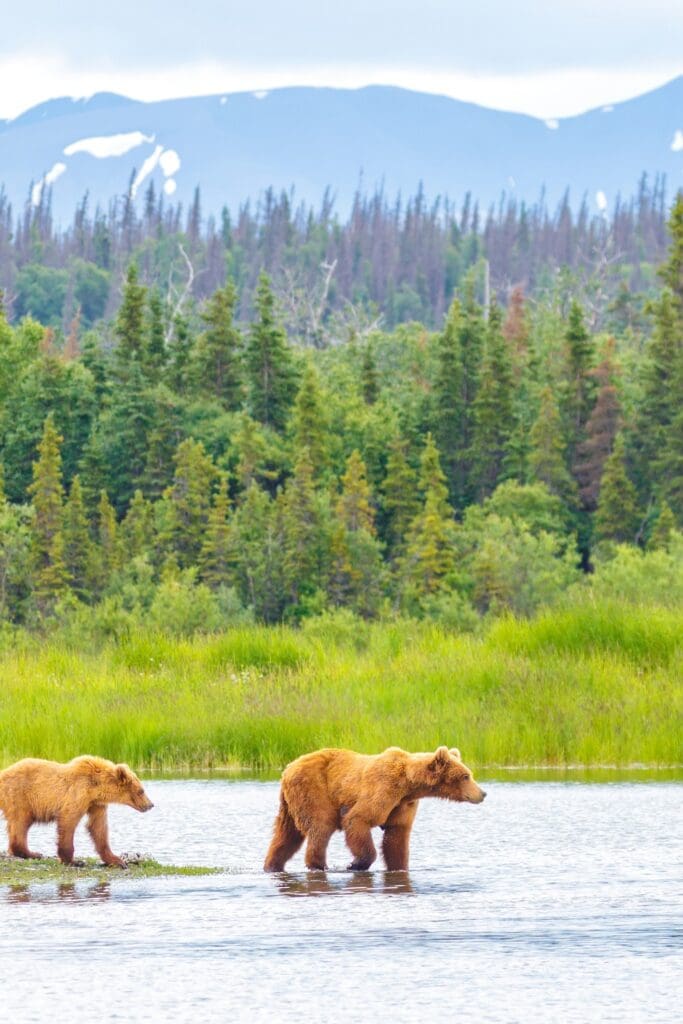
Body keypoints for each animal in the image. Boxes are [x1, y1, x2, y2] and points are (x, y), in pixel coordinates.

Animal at [0, 757, 154, 868]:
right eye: (141, 791)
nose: (151, 805)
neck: (96, 788)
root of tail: (3, 774)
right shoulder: (78, 793)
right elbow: (68, 820)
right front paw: (74, 861)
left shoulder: (96, 804)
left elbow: (98, 828)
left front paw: (117, 860)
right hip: (20, 796)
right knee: (21, 822)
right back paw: (33, 853)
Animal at [264, 745, 485, 872]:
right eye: (465, 776)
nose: (483, 793)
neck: (409, 785)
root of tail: (287, 768)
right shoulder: (383, 788)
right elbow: (358, 819)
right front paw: (355, 864)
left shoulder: (402, 804)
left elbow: (396, 837)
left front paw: (399, 867)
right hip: (314, 790)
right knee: (320, 826)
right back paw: (319, 865)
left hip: (290, 803)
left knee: (286, 835)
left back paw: (272, 865)